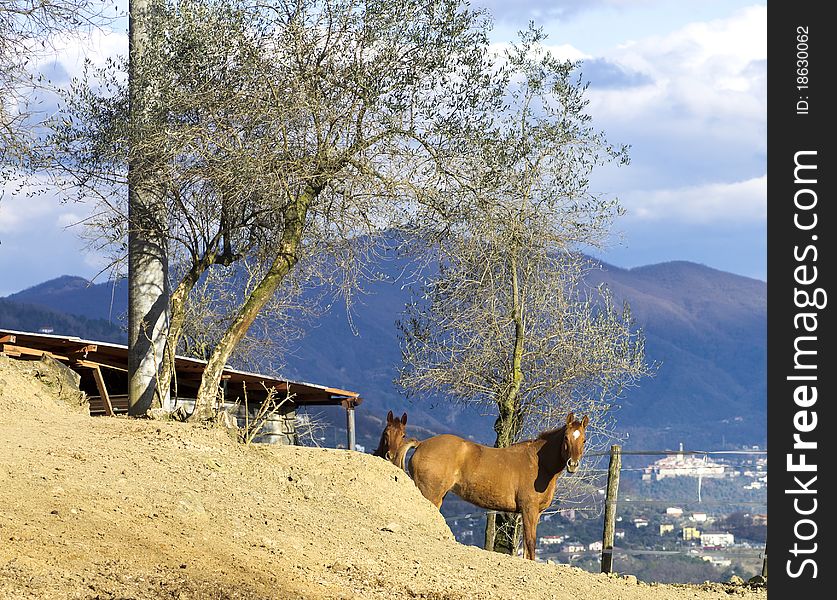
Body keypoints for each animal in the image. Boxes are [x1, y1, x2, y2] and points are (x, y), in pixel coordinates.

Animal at [394, 410, 584, 560]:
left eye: (583, 440)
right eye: (566, 437)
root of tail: (421, 444)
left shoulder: (534, 514)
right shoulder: (529, 510)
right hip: (430, 495)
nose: (573, 464)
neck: (538, 463)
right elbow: (531, 544)